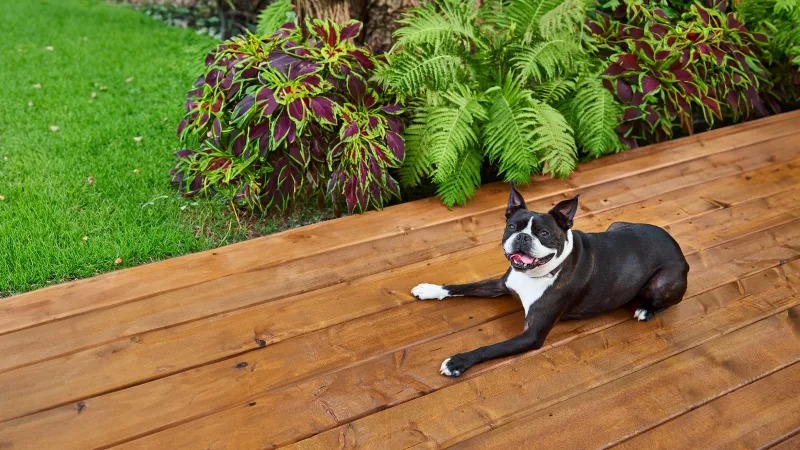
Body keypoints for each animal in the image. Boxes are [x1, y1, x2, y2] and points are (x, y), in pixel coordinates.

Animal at [412, 183, 688, 376]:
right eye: (512, 227)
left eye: (543, 233)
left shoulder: (531, 334)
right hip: (617, 224)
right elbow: (462, 286)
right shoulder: (502, 284)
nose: (523, 237)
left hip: (663, 283)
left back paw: (645, 310)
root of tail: (676, 246)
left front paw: (458, 362)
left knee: (664, 301)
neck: (539, 273)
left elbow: (489, 348)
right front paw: (430, 289)